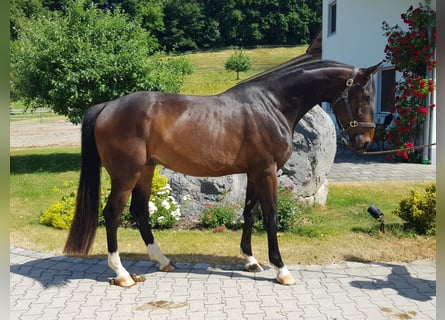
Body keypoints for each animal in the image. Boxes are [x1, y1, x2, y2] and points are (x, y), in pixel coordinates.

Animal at [64, 58, 380, 286]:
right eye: (364, 95)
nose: (365, 142)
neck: (272, 105)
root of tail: (107, 106)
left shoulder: (254, 172)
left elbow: (250, 213)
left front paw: (251, 260)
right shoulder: (267, 171)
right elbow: (271, 215)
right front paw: (281, 269)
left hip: (146, 170)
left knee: (140, 211)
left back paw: (162, 260)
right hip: (126, 175)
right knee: (112, 215)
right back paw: (121, 274)